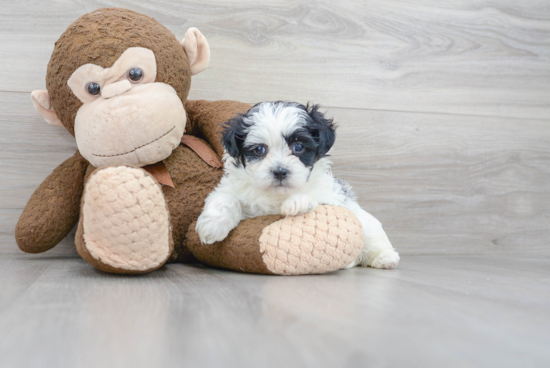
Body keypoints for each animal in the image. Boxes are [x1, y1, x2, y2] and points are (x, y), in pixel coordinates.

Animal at [197, 102, 402, 268]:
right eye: (259, 150)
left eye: (298, 147)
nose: (280, 171)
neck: (277, 195)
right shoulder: (232, 188)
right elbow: (226, 199)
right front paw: (212, 226)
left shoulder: (332, 198)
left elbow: (313, 198)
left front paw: (296, 203)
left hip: (365, 224)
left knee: (373, 237)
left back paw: (386, 259)